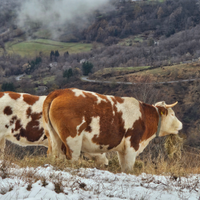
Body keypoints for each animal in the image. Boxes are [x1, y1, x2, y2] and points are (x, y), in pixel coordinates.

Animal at [42, 88, 183, 173]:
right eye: (172, 114)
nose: (181, 125)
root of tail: (61, 92)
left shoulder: (122, 150)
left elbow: (124, 167)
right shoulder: (132, 144)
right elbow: (129, 166)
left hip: (54, 137)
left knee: (54, 155)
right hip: (73, 140)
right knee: (72, 158)